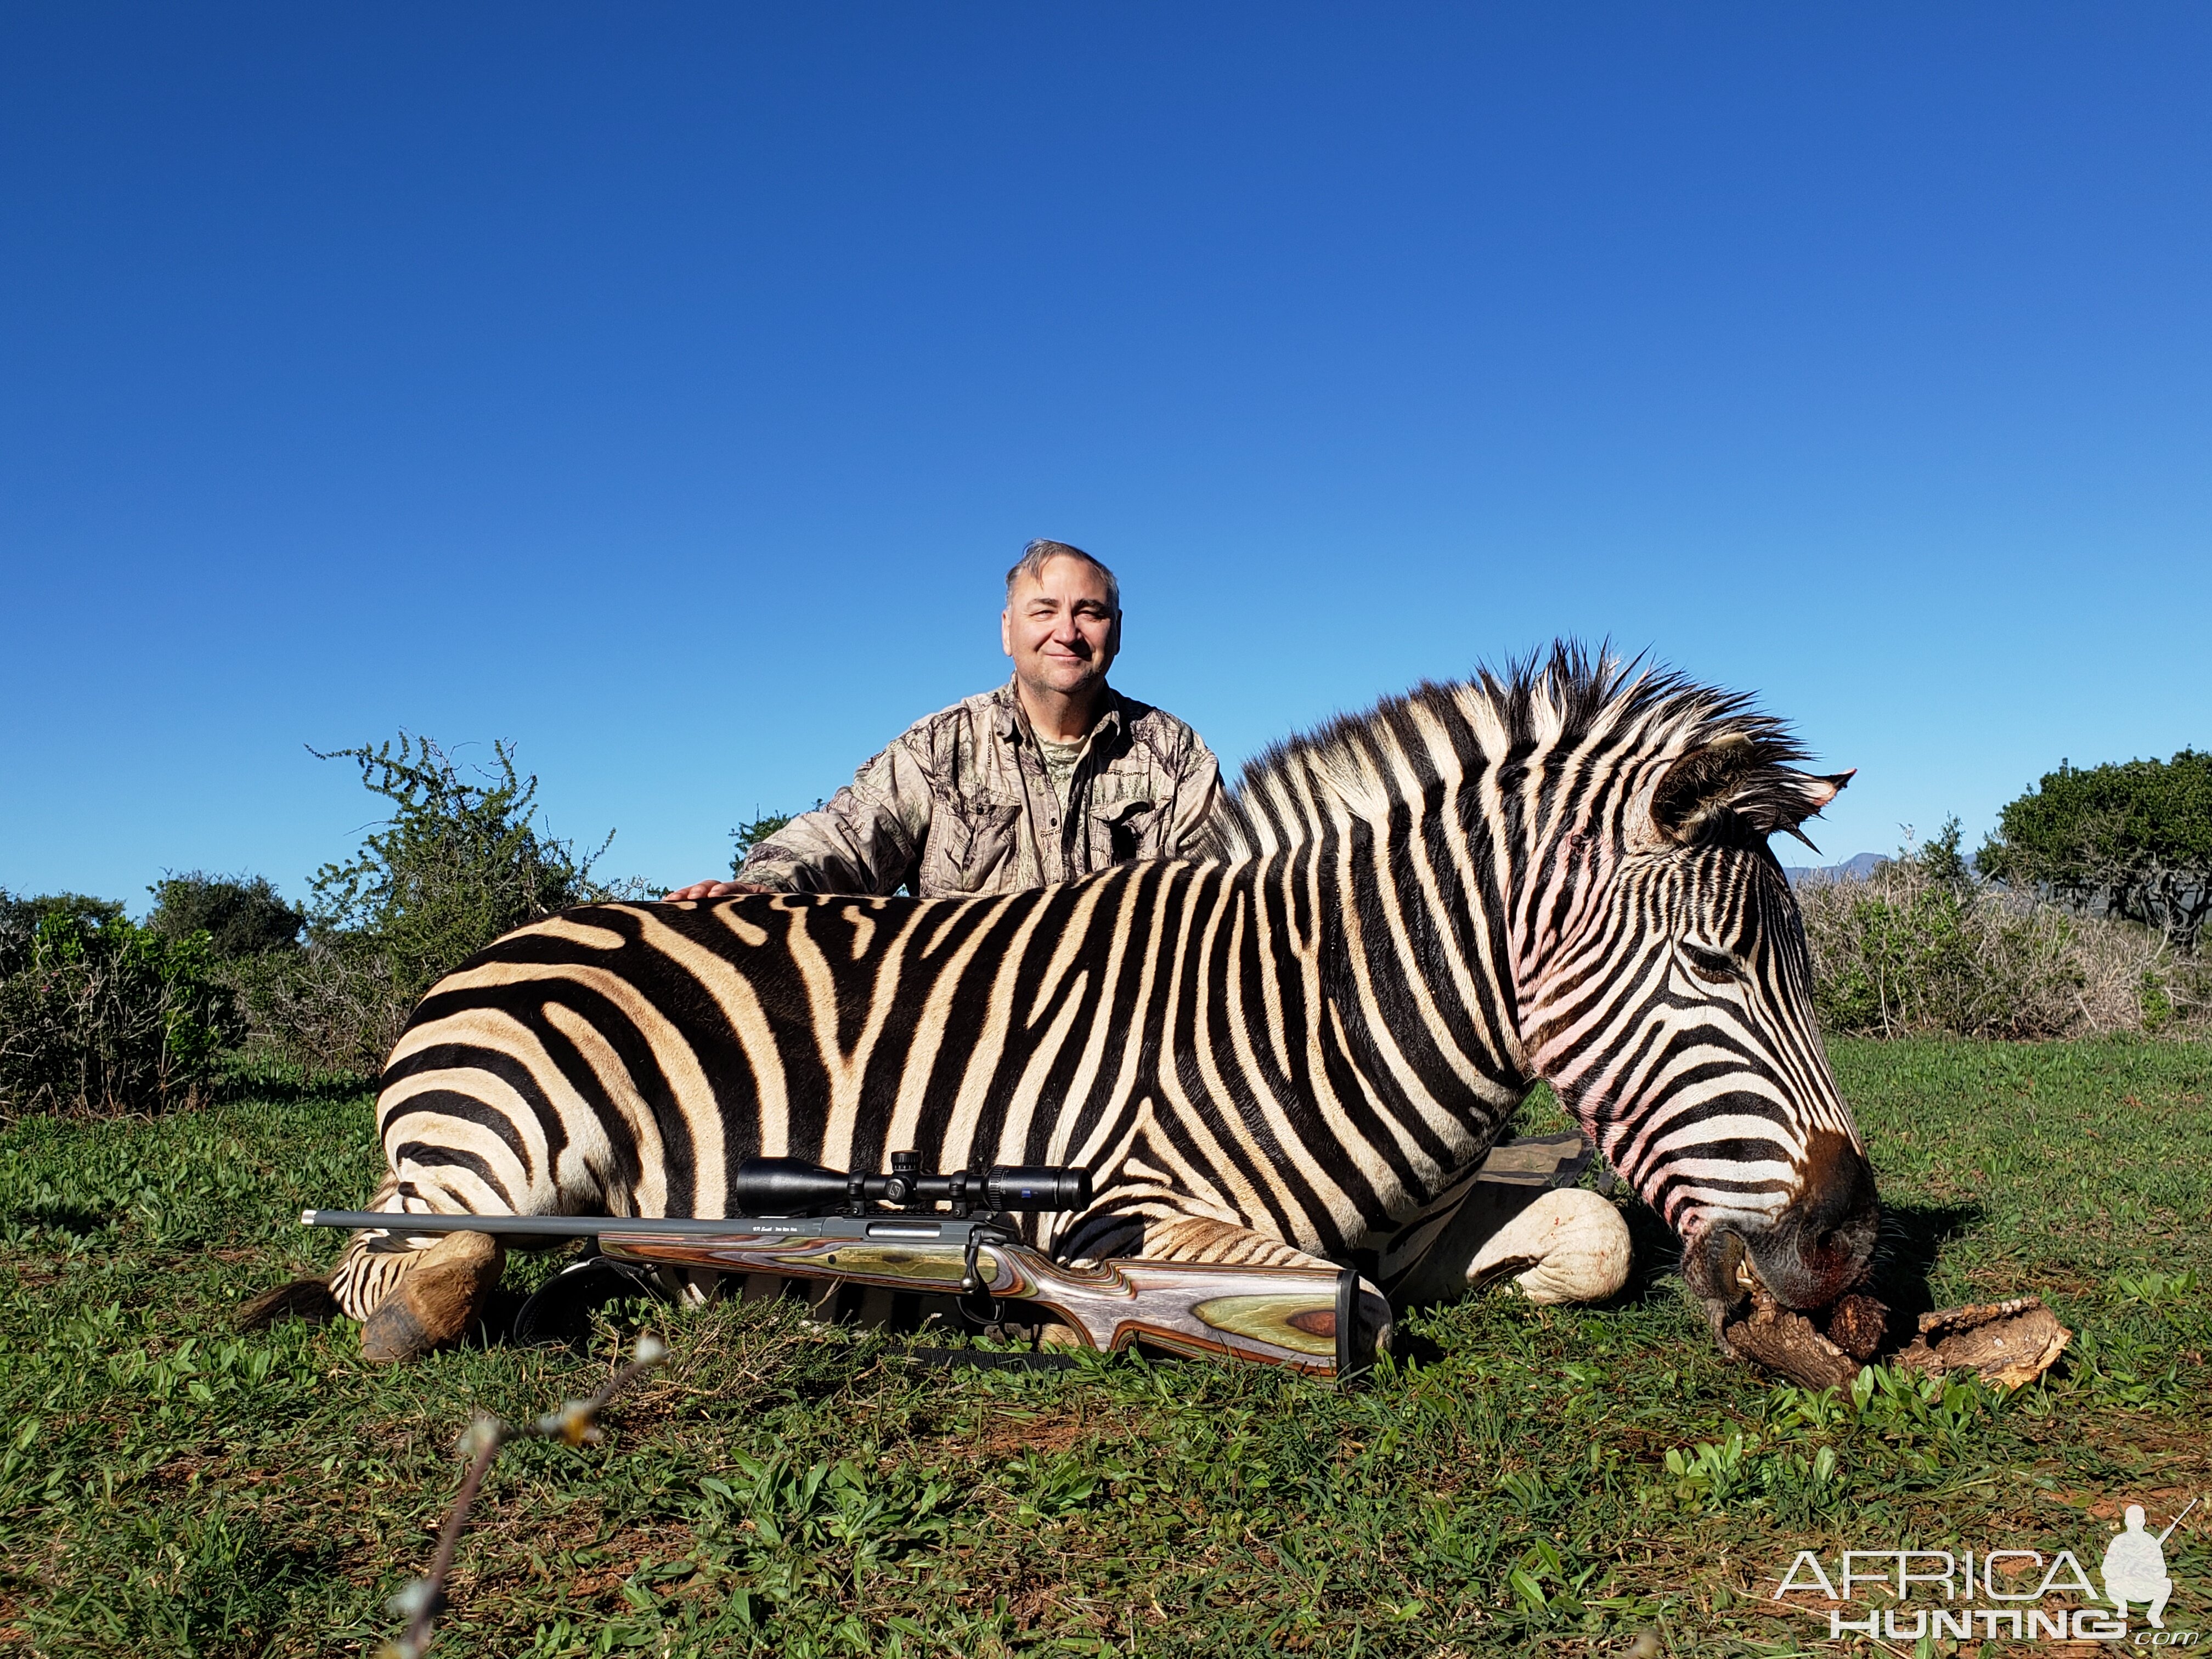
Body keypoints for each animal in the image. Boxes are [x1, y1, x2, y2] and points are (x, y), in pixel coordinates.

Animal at [331, 650, 1884, 1362]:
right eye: (1714, 968)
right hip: (488, 1150)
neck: (1317, 1005)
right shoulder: (1126, 1214)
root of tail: (498, 944)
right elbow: (1347, 1299)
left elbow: (1589, 1239)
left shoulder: (1422, 1222)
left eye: (1806, 976)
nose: (1851, 1246)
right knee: (407, 1266)